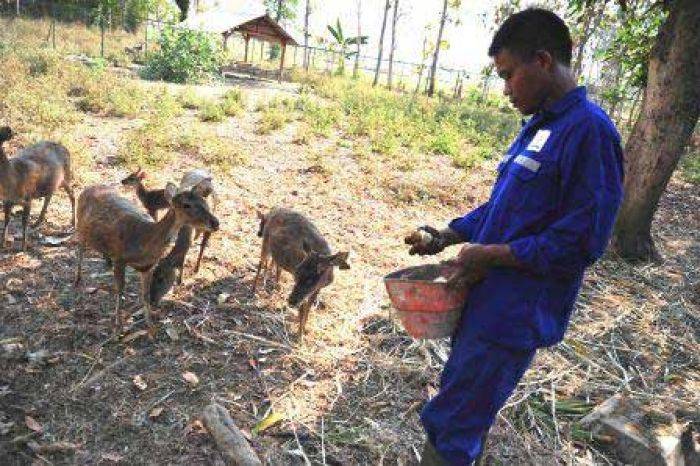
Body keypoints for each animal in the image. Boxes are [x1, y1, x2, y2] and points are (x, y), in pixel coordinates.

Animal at [74, 182, 219, 328]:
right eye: (186, 205)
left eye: (205, 202)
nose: (215, 222)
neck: (144, 239)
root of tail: (87, 188)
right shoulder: (119, 258)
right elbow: (120, 291)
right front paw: (118, 325)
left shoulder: (148, 266)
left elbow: (145, 294)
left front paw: (149, 324)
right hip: (80, 227)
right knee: (80, 250)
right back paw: (78, 280)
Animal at [253, 208, 348, 342]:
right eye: (297, 273)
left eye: (313, 279)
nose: (291, 301)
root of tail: (274, 211)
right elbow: (303, 310)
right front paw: (299, 337)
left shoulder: (316, 289)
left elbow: (307, 310)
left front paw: (303, 330)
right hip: (265, 243)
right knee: (261, 263)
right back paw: (254, 290)